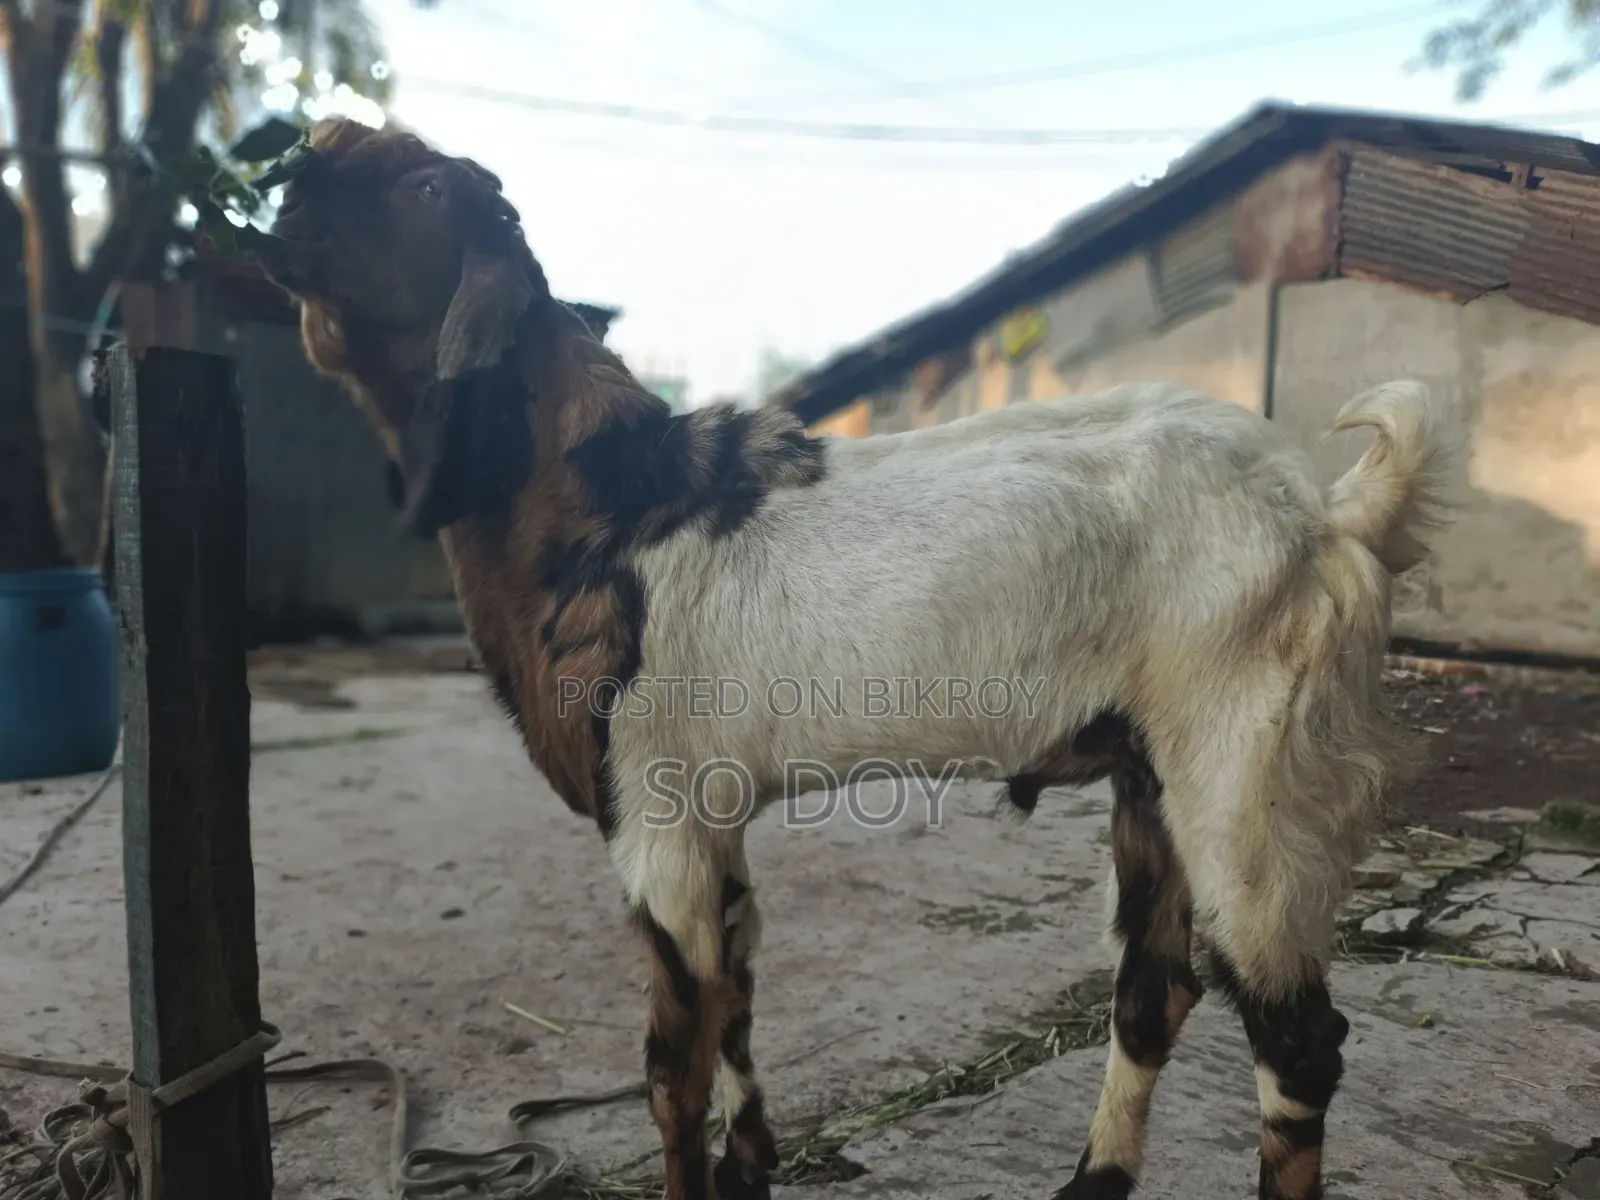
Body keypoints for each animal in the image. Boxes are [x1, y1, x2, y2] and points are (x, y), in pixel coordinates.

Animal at [253, 118, 1461, 1200]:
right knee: (1151, 993)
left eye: (423, 190)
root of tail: (1330, 513)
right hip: (1150, 773)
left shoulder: (655, 812)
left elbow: (670, 1069)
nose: (286, 190)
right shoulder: (712, 814)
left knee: (1295, 1038)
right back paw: (1088, 1183)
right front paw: (752, 1166)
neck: (607, 499)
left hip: (1248, 769)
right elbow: (737, 997)